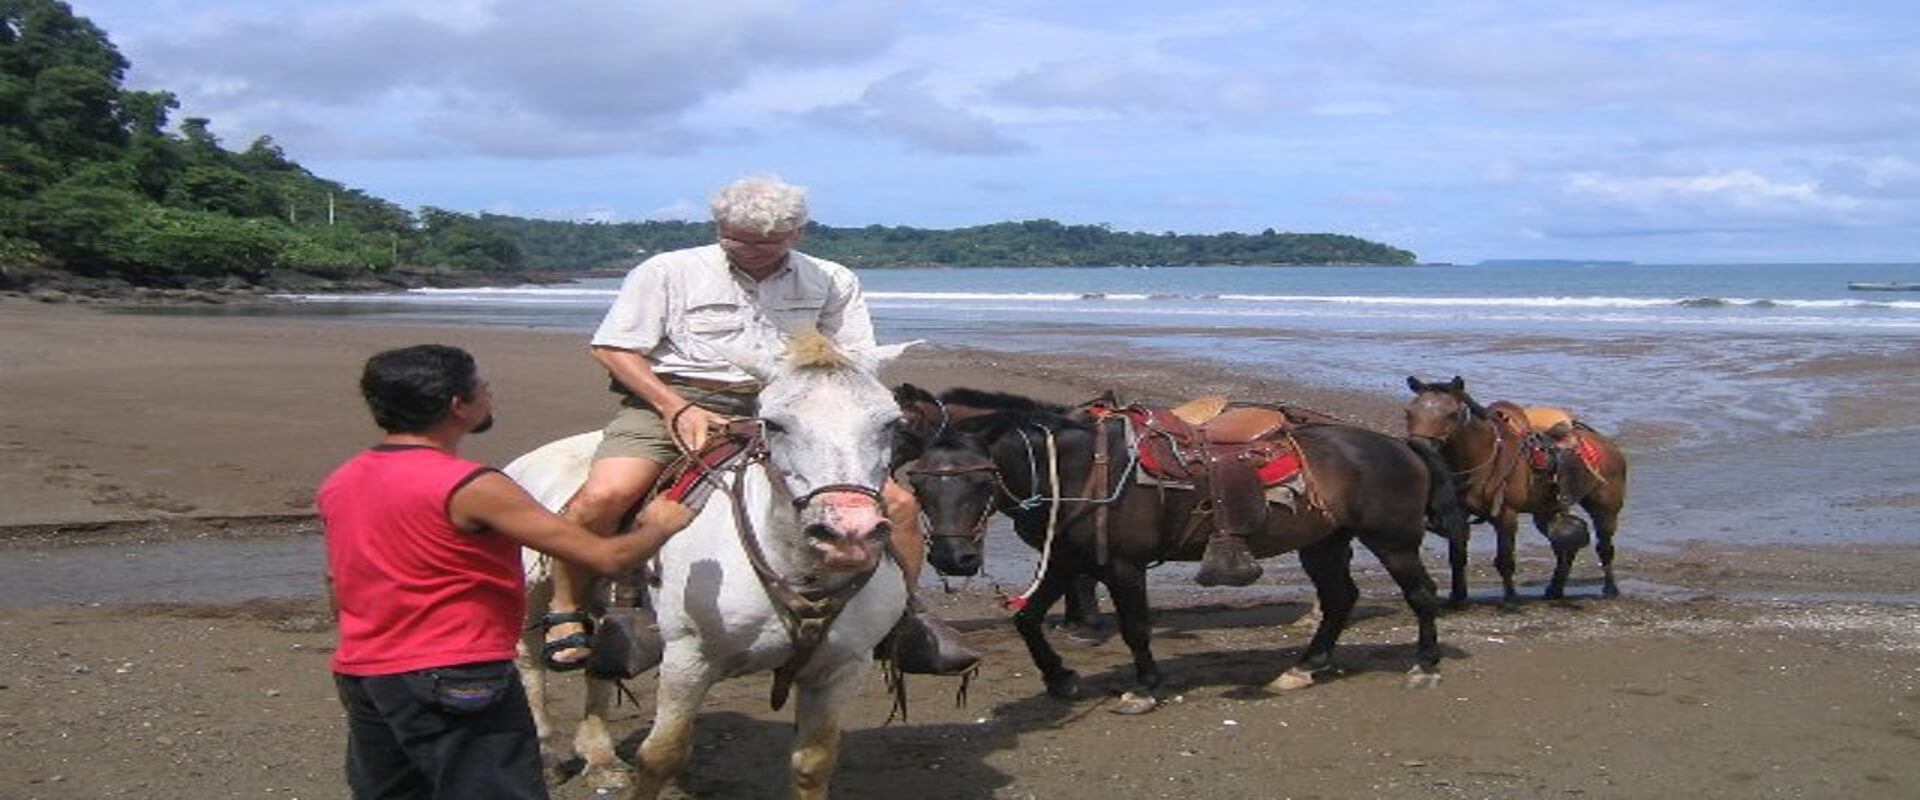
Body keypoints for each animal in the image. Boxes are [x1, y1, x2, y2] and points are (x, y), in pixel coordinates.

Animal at [499, 328, 910, 794]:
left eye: (893, 423)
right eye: (774, 423)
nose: (848, 534)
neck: (796, 572)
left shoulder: (842, 669)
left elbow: (814, 763)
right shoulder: (688, 658)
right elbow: (660, 756)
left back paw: (600, 758)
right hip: (535, 591)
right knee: (530, 661)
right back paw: (548, 753)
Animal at [890, 383, 1443, 713]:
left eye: (982, 482)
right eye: (921, 484)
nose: (953, 560)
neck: (1078, 469)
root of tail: (1398, 444)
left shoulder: (1124, 565)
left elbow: (1136, 627)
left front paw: (1144, 687)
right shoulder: (1068, 559)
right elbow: (1027, 619)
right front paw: (1060, 678)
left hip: (1393, 541)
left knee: (1420, 595)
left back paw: (1425, 665)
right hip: (1323, 543)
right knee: (1338, 599)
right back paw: (1305, 668)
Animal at [1405, 374, 1628, 606]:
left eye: (1452, 414)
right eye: (1409, 412)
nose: (1419, 446)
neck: (1482, 456)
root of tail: (1607, 444)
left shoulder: (1506, 516)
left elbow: (1505, 560)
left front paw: (1511, 598)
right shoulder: (1458, 513)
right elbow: (1457, 557)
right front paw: (1457, 597)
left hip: (1606, 509)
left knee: (1604, 548)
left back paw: (1610, 589)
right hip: (1547, 512)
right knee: (1564, 548)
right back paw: (1555, 590)